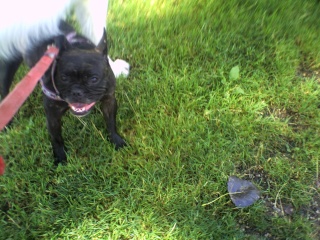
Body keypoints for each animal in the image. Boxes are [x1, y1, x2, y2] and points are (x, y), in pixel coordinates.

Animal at [0, 22, 126, 165]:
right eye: (64, 78)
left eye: (94, 79)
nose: (77, 91)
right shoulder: (52, 115)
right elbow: (56, 137)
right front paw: (60, 157)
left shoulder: (109, 100)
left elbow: (111, 121)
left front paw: (116, 140)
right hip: (8, 66)